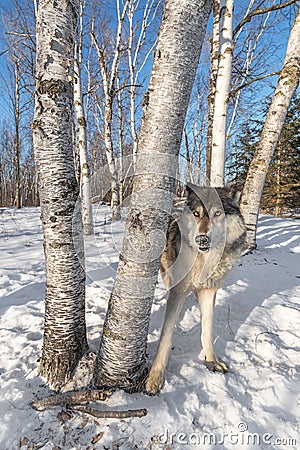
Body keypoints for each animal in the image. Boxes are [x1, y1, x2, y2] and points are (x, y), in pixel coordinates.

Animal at [145, 183, 246, 394]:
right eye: (197, 213)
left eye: (218, 213)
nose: (202, 240)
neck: (204, 261)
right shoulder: (178, 292)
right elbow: (166, 336)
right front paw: (155, 376)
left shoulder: (209, 291)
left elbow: (207, 330)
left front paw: (211, 360)